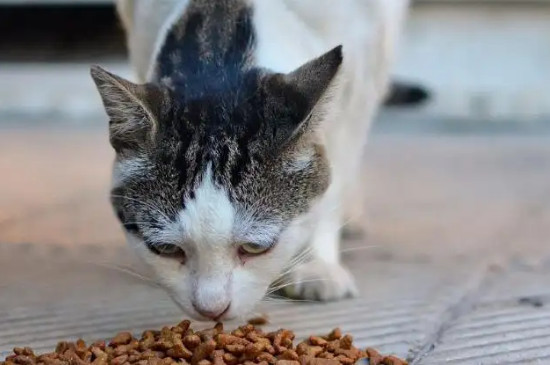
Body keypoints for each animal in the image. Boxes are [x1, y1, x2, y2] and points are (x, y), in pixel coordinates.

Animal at [91, 0, 410, 318]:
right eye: (167, 249)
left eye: (256, 247)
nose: (211, 310)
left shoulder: (363, 55)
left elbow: (339, 167)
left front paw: (315, 263)